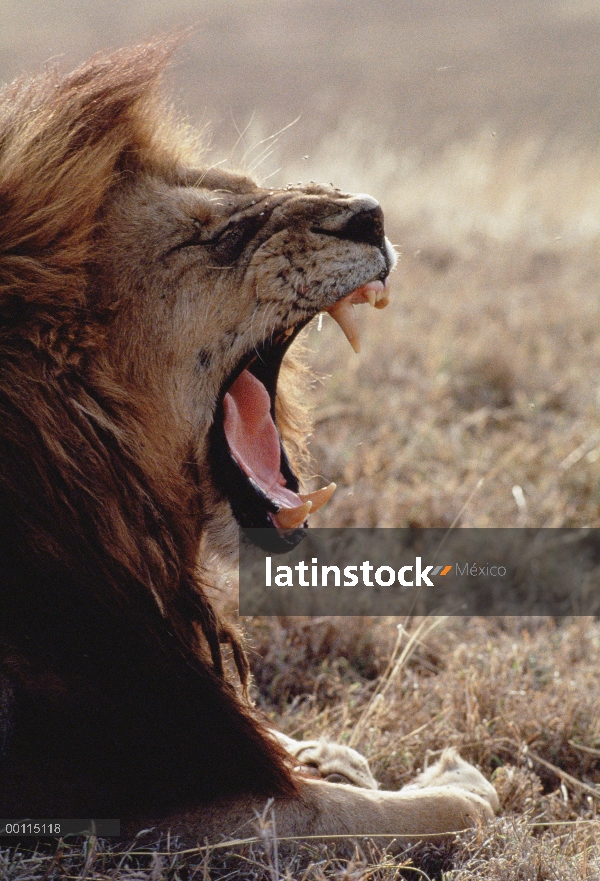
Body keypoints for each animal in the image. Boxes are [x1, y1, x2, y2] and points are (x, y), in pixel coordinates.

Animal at [0, 37, 496, 844]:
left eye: (245, 189)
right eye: (214, 234)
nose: (370, 214)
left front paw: (330, 751)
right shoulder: (154, 802)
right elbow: (363, 810)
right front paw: (458, 785)